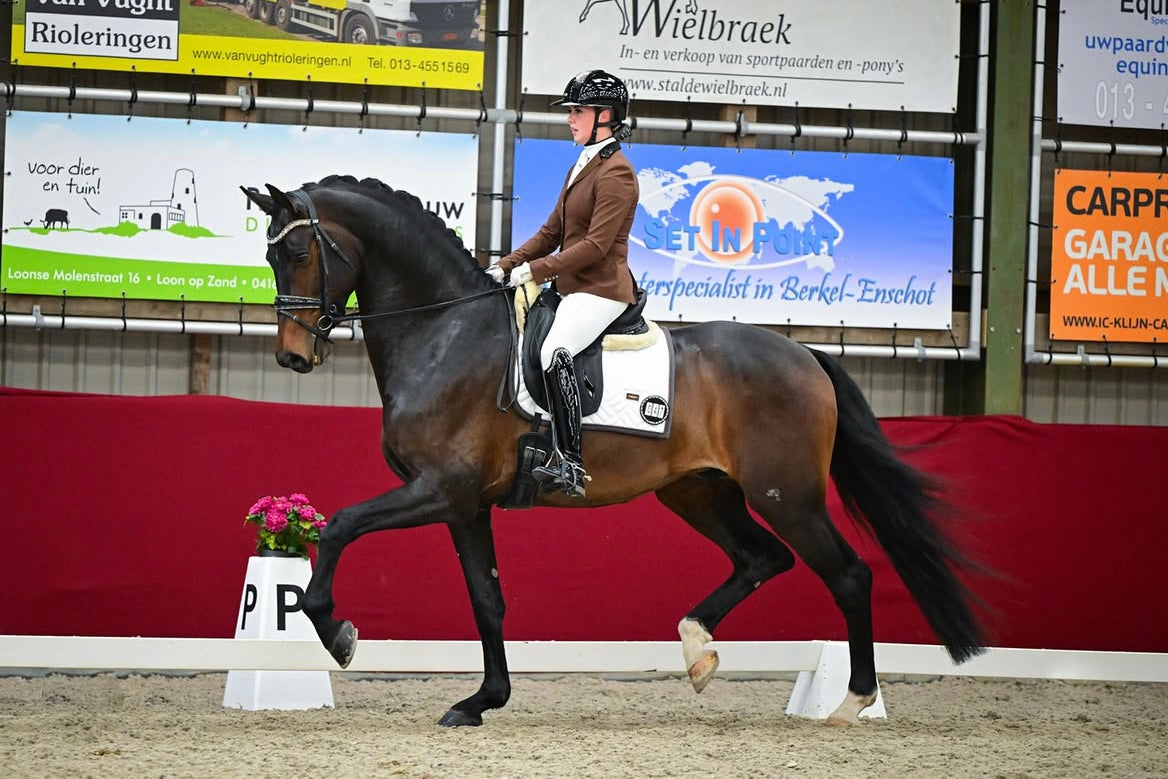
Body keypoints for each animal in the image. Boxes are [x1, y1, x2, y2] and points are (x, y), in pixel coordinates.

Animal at [241, 174, 985, 728]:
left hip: (786, 494)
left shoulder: (438, 489)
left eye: (300, 254)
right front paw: (482, 700)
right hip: (698, 491)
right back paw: (697, 651)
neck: (444, 330)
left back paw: (850, 701)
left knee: (848, 574)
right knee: (761, 558)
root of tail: (805, 354)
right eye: (271, 258)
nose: (293, 356)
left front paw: (337, 635)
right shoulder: (464, 504)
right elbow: (487, 598)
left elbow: (341, 525)